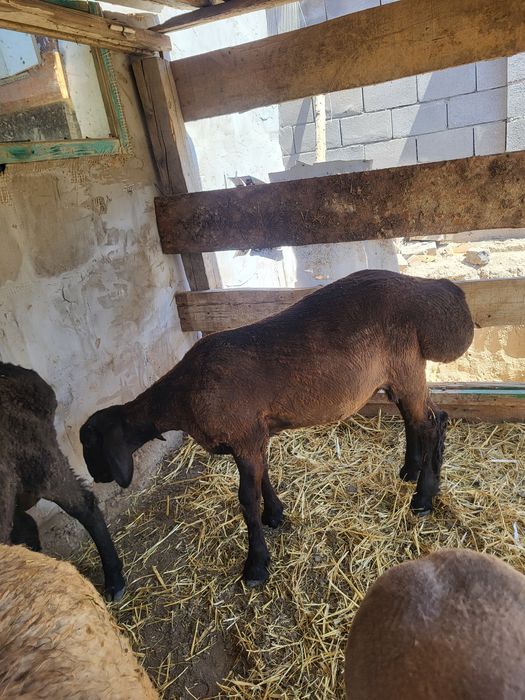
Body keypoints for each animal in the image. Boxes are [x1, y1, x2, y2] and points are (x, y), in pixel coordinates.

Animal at [80, 270, 474, 587]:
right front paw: (275, 514)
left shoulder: (244, 435)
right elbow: (263, 477)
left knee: (431, 423)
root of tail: (435, 290)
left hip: (406, 365)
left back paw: (423, 499)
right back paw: (410, 471)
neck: (182, 396)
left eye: (91, 447)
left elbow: (246, 499)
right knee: (421, 420)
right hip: (398, 373)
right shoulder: (254, 434)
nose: (97, 478)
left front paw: (256, 565)